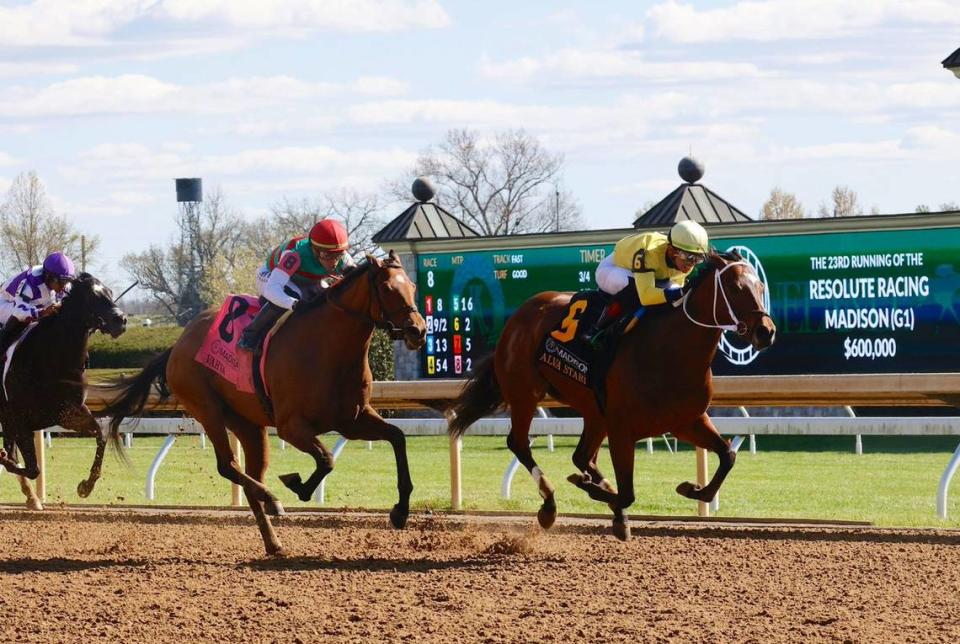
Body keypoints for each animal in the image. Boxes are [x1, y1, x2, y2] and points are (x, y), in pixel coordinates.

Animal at [0, 272, 127, 508]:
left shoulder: (67, 413)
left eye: (110, 292)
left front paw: (86, 486)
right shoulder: (19, 419)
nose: (121, 320)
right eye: (91, 295)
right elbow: (31, 468)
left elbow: (101, 434)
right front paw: (4, 457)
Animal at [100, 250, 424, 552]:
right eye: (387, 288)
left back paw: (273, 540)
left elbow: (397, 437)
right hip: (207, 409)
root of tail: (177, 346)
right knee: (228, 466)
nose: (417, 330)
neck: (327, 349)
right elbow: (326, 459)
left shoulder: (352, 420)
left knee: (250, 474)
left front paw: (400, 511)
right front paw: (298, 485)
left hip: (248, 424)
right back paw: (271, 498)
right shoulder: (291, 427)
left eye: (412, 286)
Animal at [446, 252, 776, 540]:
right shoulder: (622, 428)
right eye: (734, 287)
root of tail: (521, 314)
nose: (766, 331)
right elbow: (627, 493)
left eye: (760, 287)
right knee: (519, 443)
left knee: (581, 456)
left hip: (593, 410)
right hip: (525, 393)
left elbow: (728, 455)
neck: (670, 351)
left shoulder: (686, 421)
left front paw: (691, 489)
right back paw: (551, 504)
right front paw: (602, 496)